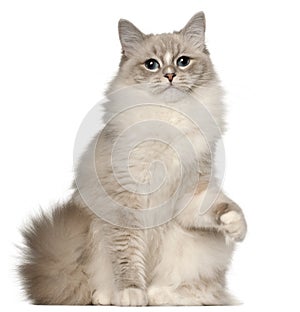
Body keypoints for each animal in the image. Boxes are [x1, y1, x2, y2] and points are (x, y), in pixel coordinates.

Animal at [19, 11, 247, 304]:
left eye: (183, 61)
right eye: (151, 65)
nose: (170, 75)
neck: (169, 118)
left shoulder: (191, 193)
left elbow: (222, 207)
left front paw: (235, 225)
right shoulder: (126, 203)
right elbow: (127, 256)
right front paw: (131, 292)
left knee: (195, 288)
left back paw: (163, 296)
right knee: (95, 283)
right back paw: (112, 296)